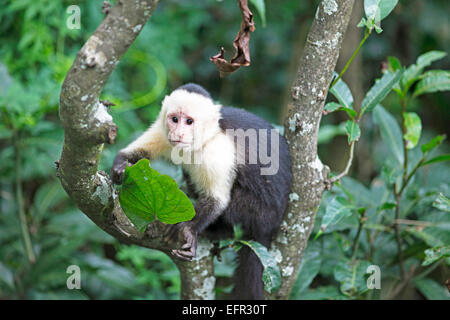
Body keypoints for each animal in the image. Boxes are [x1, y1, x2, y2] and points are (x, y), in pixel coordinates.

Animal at [112, 83, 292, 300]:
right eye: (174, 119)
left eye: (189, 121)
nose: (179, 133)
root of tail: (270, 227)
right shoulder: (163, 130)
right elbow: (133, 153)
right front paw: (120, 167)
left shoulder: (217, 151)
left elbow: (217, 200)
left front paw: (188, 229)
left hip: (261, 214)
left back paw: (217, 231)